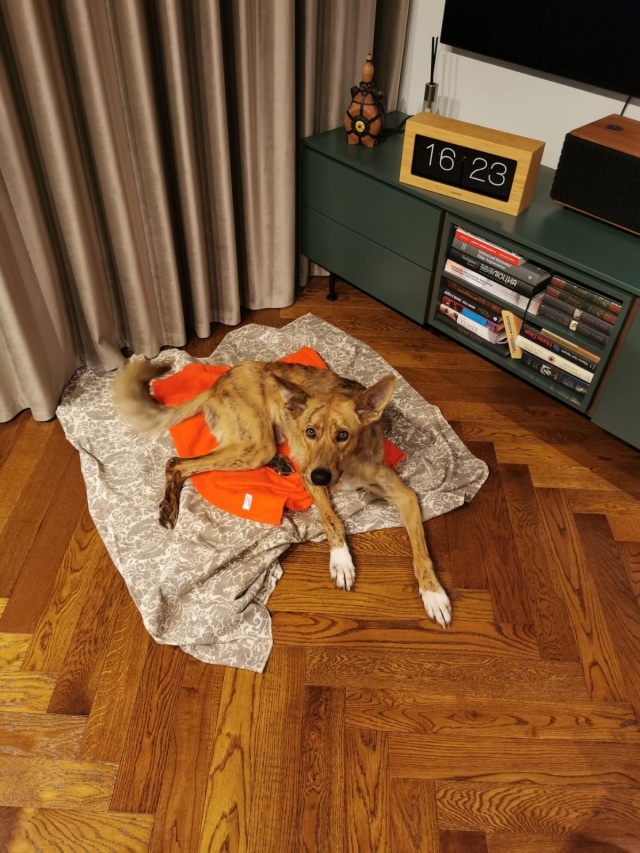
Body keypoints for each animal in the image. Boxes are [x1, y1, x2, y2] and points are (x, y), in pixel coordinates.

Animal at [112, 358, 451, 627]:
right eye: (310, 432)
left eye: (343, 435)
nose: (320, 475)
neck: (348, 464)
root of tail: (221, 379)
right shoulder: (311, 478)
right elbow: (333, 521)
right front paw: (342, 561)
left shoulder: (405, 496)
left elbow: (421, 552)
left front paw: (433, 594)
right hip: (254, 445)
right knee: (177, 462)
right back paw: (168, 508)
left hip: (258, 444)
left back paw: (279, 461)